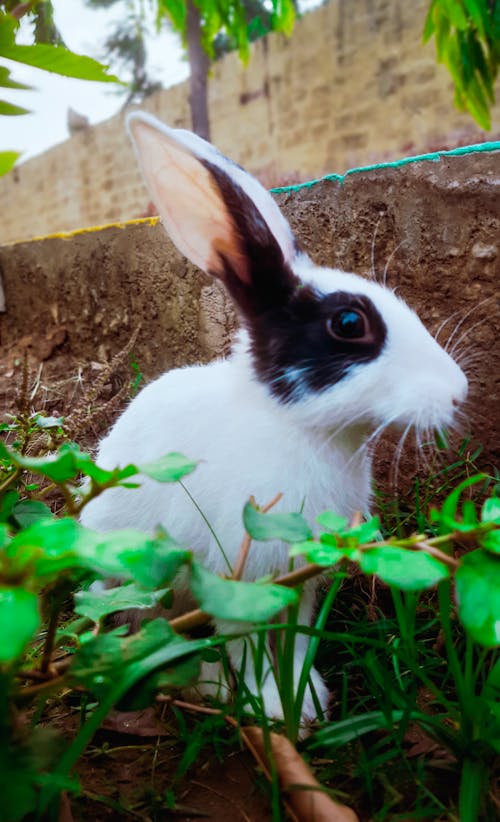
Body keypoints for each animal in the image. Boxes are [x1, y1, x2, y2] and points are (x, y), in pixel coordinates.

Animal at [80, 111, 466, 732]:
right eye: (349, 323)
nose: (458, 393)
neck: (302, 430)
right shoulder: (241, 575)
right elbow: (247, 642)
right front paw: (269, 704)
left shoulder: (299, 580)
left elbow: (297, 638)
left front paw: (305, 700)